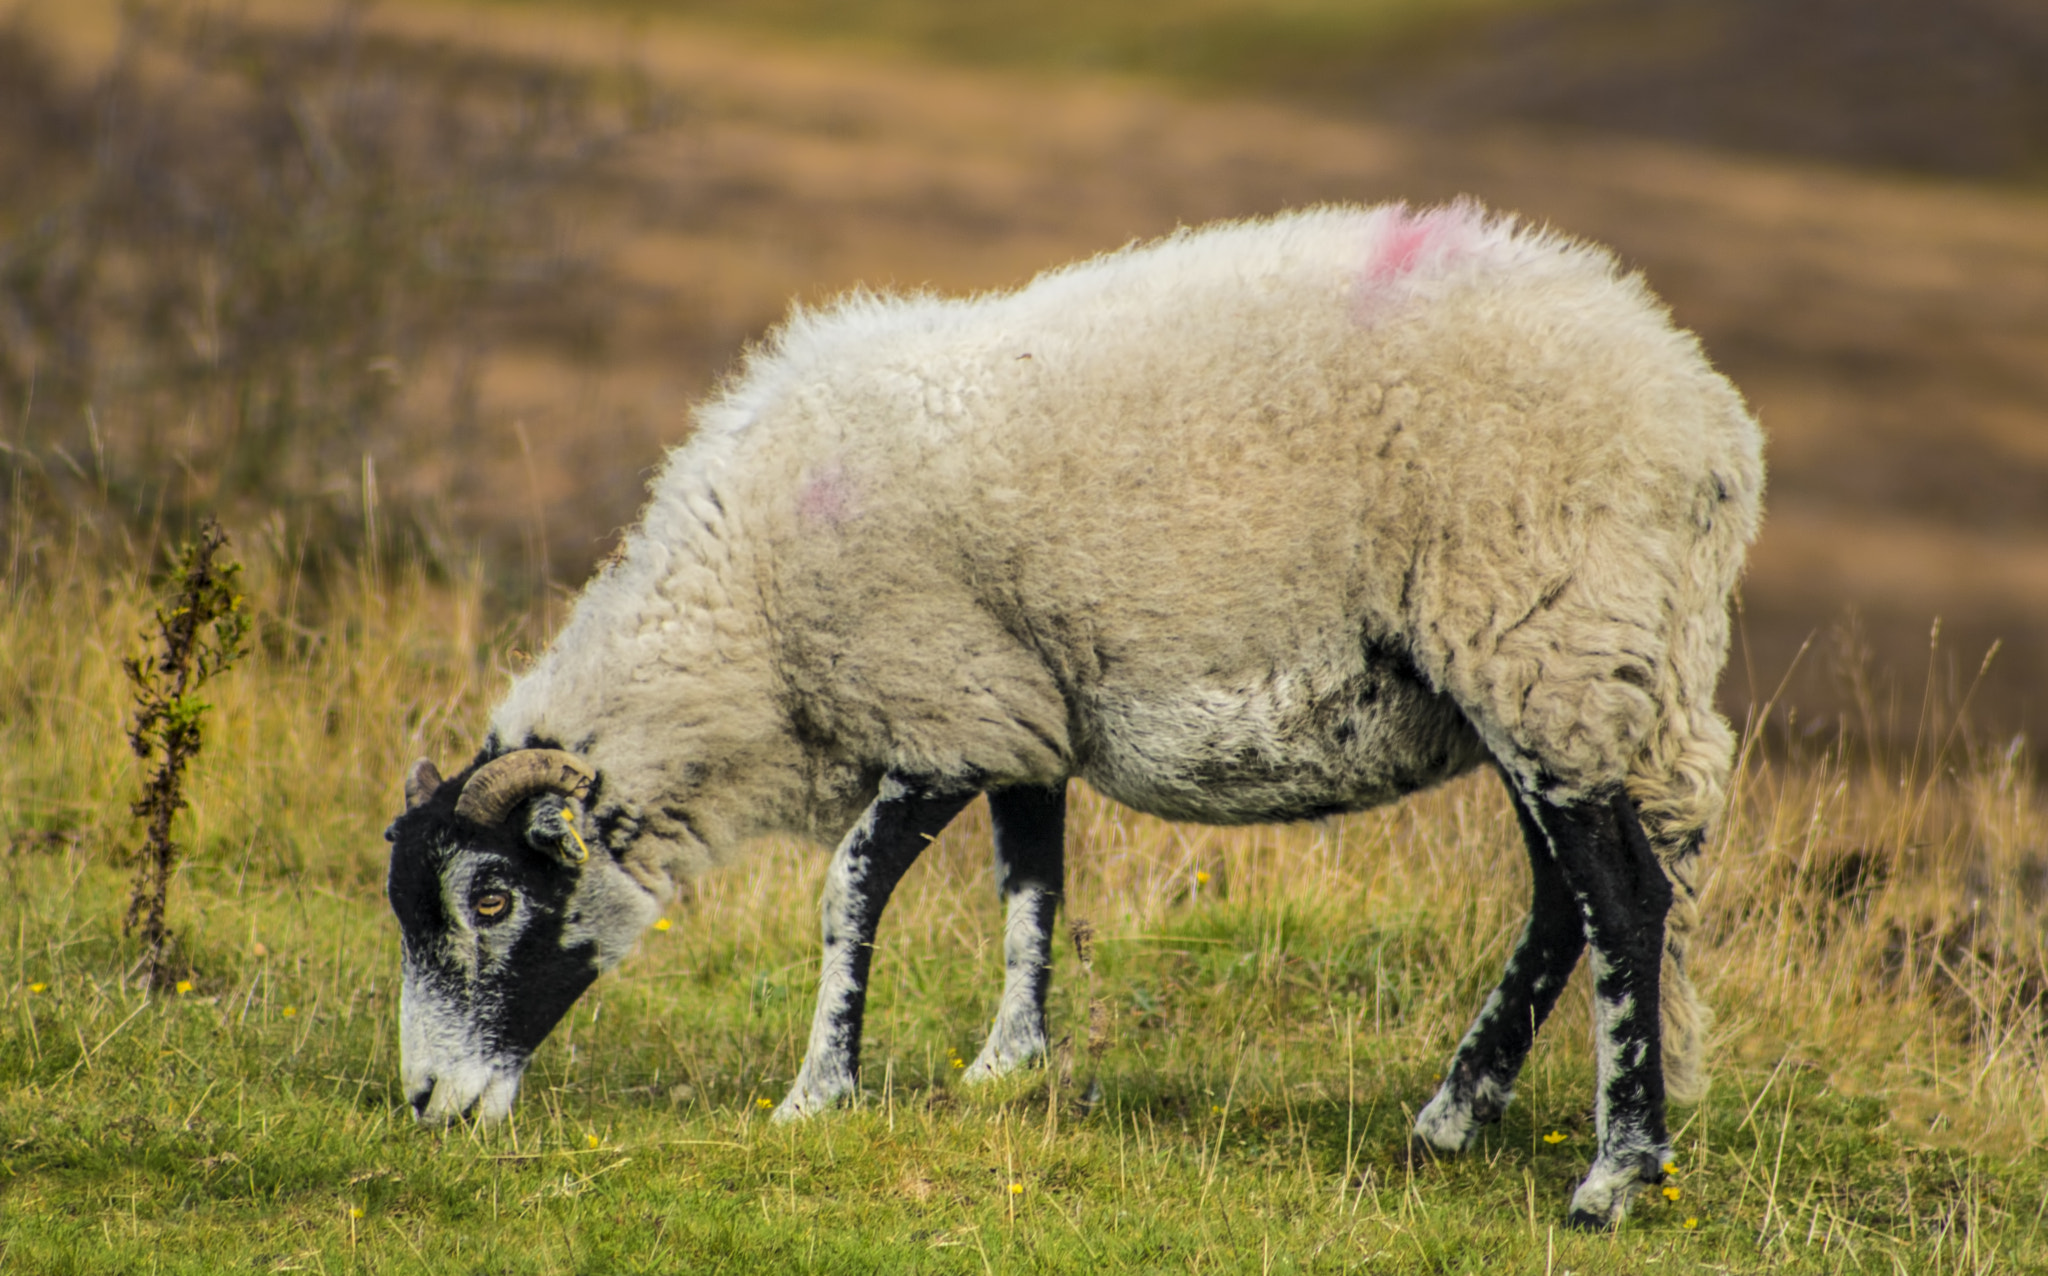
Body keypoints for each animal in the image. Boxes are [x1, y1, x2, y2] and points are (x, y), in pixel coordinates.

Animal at [385, 204, 1761, 1237]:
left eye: (492, 899)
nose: (424, 1106)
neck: (748, 629)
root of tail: (1708, 424)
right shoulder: (1017, 715)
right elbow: (1030, 881)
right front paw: (1007, 1064)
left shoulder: (941, 705)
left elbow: (848, 891)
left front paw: (817, 1090)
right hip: (1544, 681)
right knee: (1558, 894)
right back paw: (1455, 1113)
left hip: (1548, 643)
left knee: (1621, 898)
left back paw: (1612, 1174)